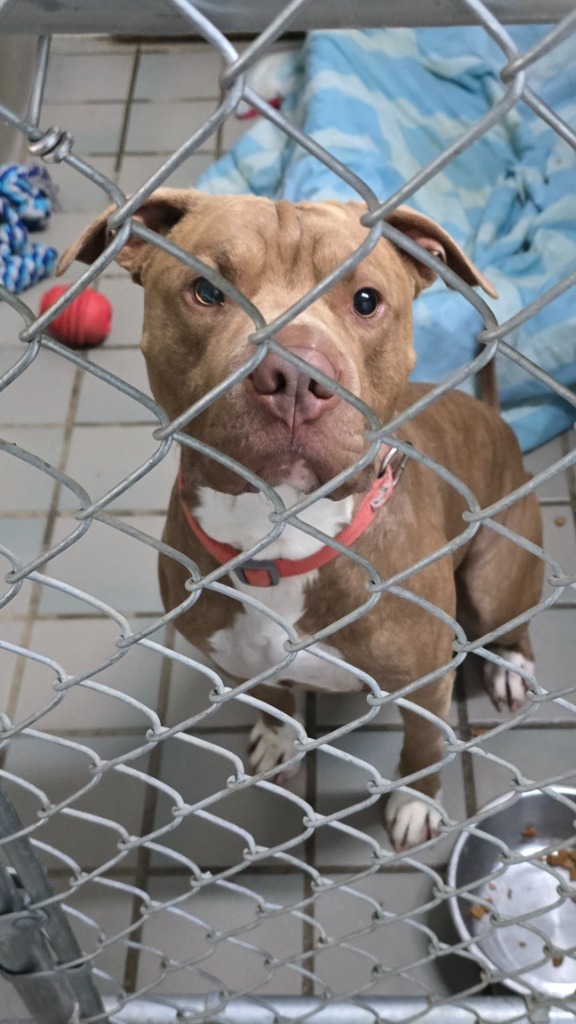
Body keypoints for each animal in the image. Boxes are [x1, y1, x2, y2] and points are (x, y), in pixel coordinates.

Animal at [59, 190, 541, 847]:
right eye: (206, 290)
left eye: (366, 300)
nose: (293, 375)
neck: (281, 535)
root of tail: (496, 420)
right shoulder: (237, 660)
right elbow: (270, 695)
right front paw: (279, 736)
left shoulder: (426, 682)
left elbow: (422, 747)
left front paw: (416, 802)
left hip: (496, 578)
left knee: (511, 623)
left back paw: (511, 668)